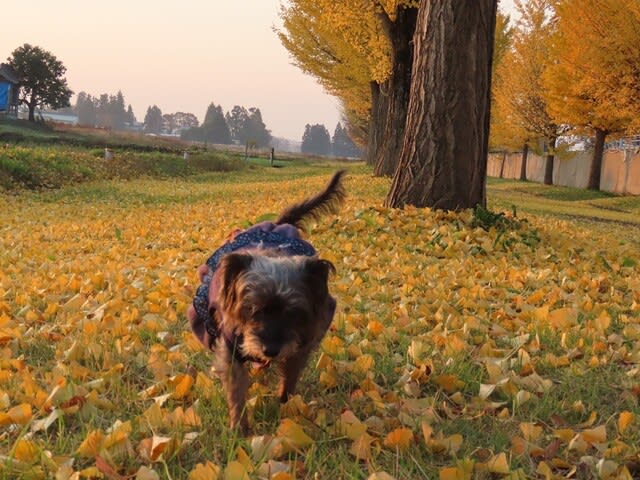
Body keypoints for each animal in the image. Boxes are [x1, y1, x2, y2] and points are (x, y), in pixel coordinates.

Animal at [187, 171, 345, 434]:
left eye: (293, 313)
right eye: (253, 310)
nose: (270, 349)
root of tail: (279, 223)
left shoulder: (302, 342)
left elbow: (290, 376)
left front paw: (285, 406)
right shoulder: (231, 346)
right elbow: (236, 389)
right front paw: (240, 428)